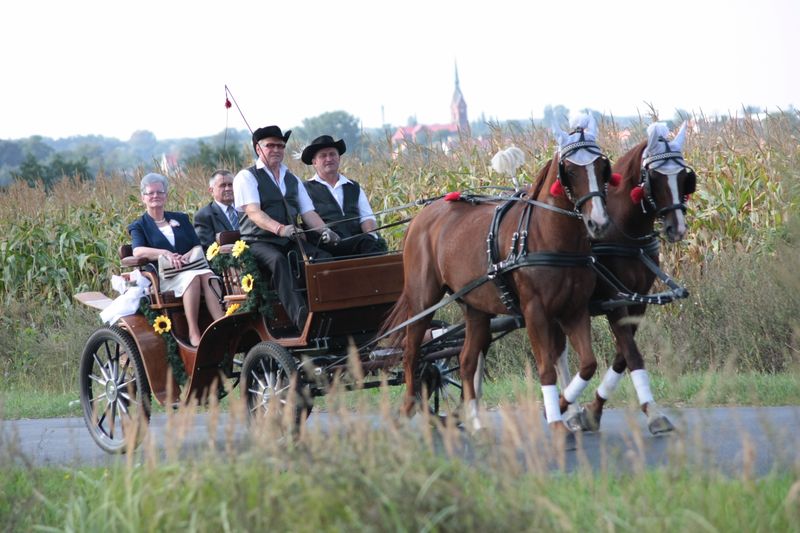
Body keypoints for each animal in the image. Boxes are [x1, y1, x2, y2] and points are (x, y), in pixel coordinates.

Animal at [382, 114, 612, 446]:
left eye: (602, 166)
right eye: (568, 170)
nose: (599, 222)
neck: (547, 236)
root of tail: (421, 217)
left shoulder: (574, 310)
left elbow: (588, 364)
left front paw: (569, 409)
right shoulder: (535, 312)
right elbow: (546, 367)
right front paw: (558, 421)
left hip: (475, 307)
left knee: (467, 360)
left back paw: (476, 423)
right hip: (422, 298)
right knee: (412, 353)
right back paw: (407, 409)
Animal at [556, 120, 692, 432]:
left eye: (684, 176)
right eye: (654, 176)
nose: (677, 228)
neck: (624, 232)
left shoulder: (637, 300)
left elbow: (622, 355)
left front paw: (592, 411)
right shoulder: (614, 300)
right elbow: (632, 353)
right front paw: (653, 412)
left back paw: (571, 411)